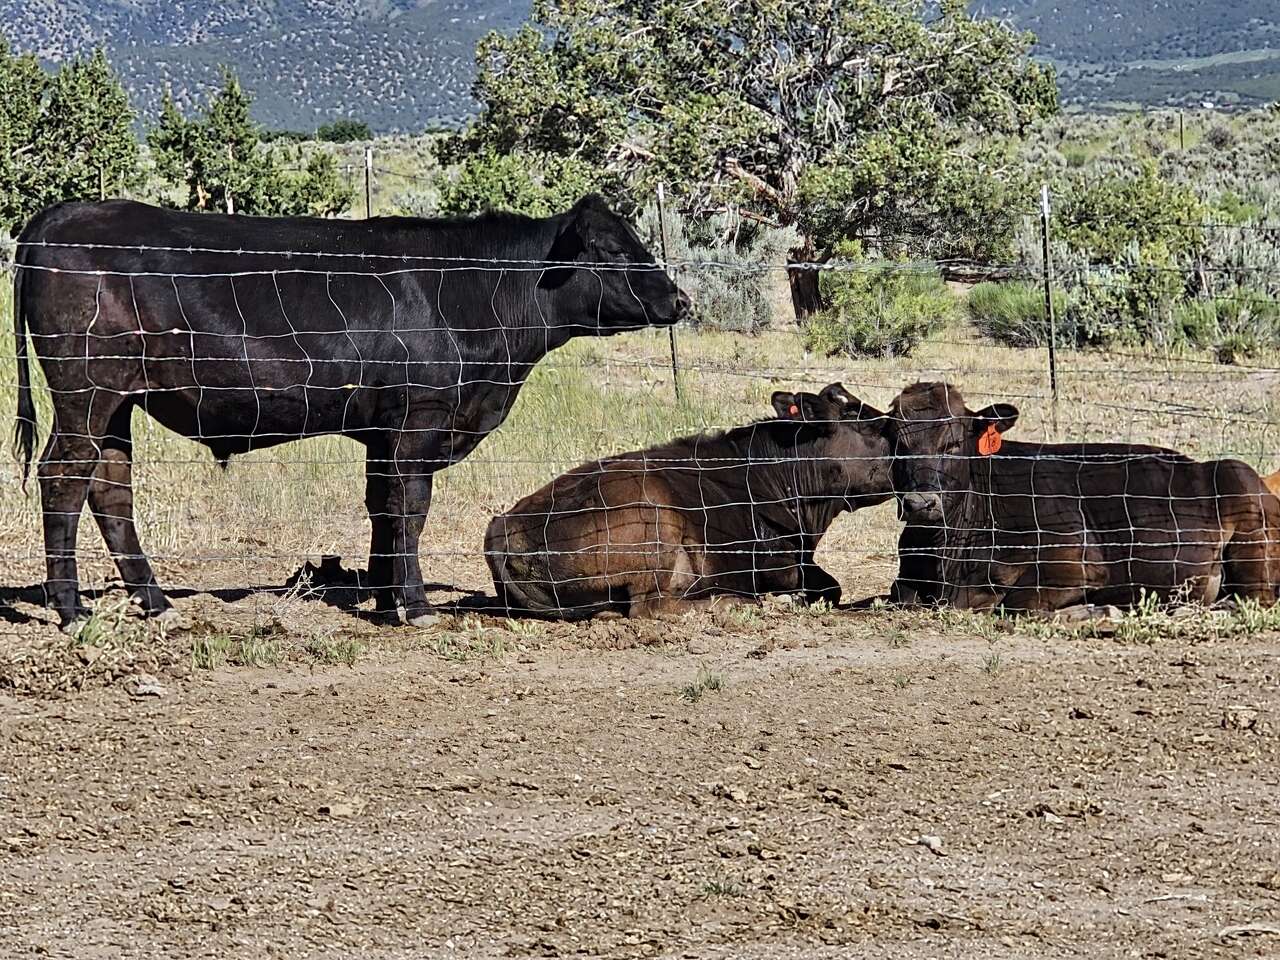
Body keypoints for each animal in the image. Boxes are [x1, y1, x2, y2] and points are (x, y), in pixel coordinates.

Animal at [12, 195, 691, 632]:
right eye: (611, 249)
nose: (680, 299)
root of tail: (56, 216)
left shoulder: (381, 433)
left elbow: (382, 510)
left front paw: (384, 599)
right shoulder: (418, 422)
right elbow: (409, 509)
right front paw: (416, 607)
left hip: (118, 404)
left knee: (109, 487)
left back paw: (155, 601)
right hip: (85, 392)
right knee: (63, 478)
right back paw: (70, 608)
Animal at [483, 381, 896, 616]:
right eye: (861, 418)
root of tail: (503, 525)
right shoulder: (772, 562)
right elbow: (819, 585)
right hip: (654, 523)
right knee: (649, 608)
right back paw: (733, 601)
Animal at [885, 381, 1280, 611]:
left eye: (952, 443)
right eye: (899, 444)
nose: (920, 504)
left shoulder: (1077, 564)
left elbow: (1016, 602)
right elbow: (899, 592)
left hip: (1245, 509)